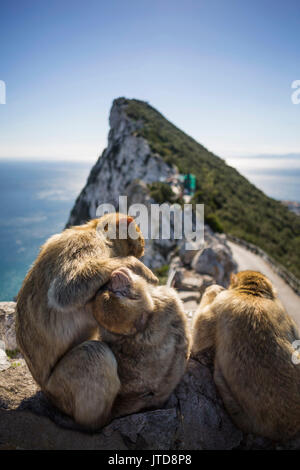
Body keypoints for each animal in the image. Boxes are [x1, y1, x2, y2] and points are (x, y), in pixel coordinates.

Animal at [15, 213, 158, 430]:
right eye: (139, 232)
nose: (143, 243)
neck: (94, 232)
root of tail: (45, 390)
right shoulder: (84, 245)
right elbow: (66, 289)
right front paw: (137, 266)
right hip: (60, 390)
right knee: (93, 354)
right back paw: (106, 417)